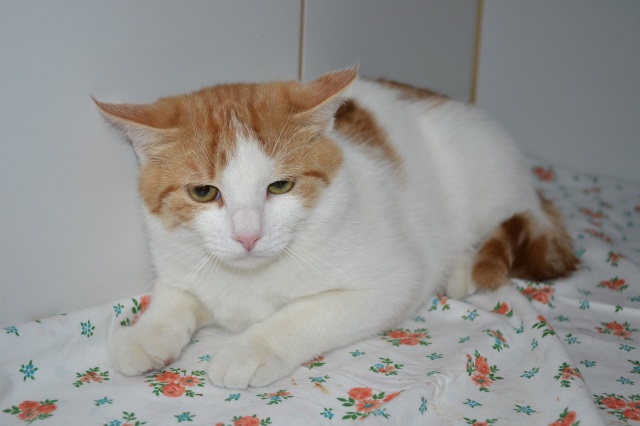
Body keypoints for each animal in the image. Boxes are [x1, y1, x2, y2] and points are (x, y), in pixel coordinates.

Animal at [95, 67, 577, 389]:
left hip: (488, 186)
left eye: (280, 186)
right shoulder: (175, 253)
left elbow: (305, 314)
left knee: (519, 222)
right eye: (203, 192)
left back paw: (467, 267)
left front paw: (250, 348)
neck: (249, 278)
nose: (248, 236)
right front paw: (147, 334)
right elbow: (174, 294)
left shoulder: (396, 278)